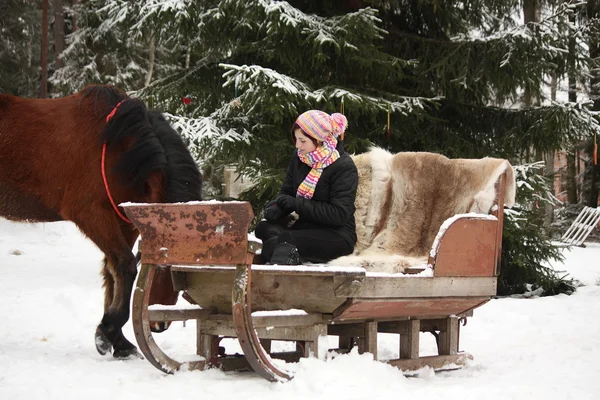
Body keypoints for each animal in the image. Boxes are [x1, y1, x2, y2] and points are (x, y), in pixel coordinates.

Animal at [0, 84, 203, 356]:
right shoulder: (91, 214)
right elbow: (124, 266)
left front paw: (117, 340)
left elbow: (111, 272)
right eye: (165, 268)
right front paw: (108, 330)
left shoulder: (125, 222)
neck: (119, 149)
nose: (159, 324)